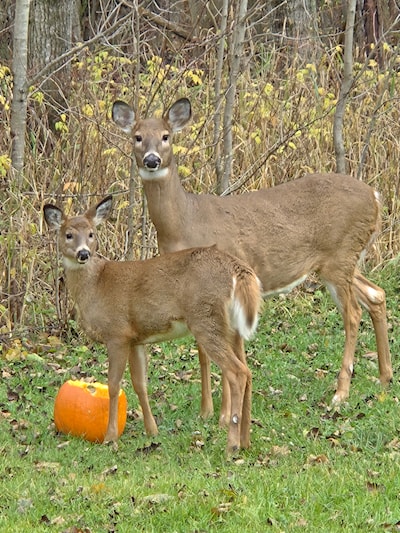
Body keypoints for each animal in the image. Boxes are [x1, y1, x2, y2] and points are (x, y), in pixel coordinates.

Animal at [44, 195, 262, 454]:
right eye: (68, 234)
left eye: (91, 233)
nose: (83, 254)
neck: (96, 285)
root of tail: (237, 269)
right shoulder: (135, 338)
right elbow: (140, 383)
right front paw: (152, 430)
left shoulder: (117, 333)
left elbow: (114, 384)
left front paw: (110, 437)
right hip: (232, 328)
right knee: (247, 370)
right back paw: (246, 441)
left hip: (206, 319)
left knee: (237, 372)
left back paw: (231, 446)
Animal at [112, 96, 394, 420]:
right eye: (137, 137)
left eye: (166, 136)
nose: (152, 160)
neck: (185, 222)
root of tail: (375, 196)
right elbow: (203, 350)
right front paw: (207, 411)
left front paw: (225, 414)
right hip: (341, 261)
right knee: (376, 294)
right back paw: (384, 377)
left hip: (340, 255)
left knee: (353, 314)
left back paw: (340, 393)